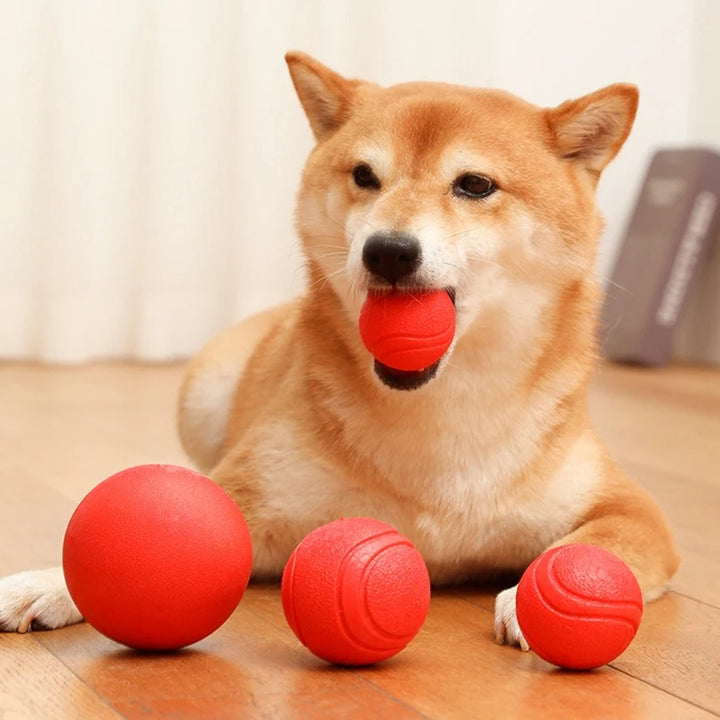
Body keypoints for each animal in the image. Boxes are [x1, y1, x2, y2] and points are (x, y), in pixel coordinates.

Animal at [0, 49, 676, 648]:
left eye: (475, 185)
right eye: (365, 176)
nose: (388, 251)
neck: (438, 413)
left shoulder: (631, 509)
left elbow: (594, 543)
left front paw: (534, 598)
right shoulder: (253, 493)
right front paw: (50, 582)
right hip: (203, 393)